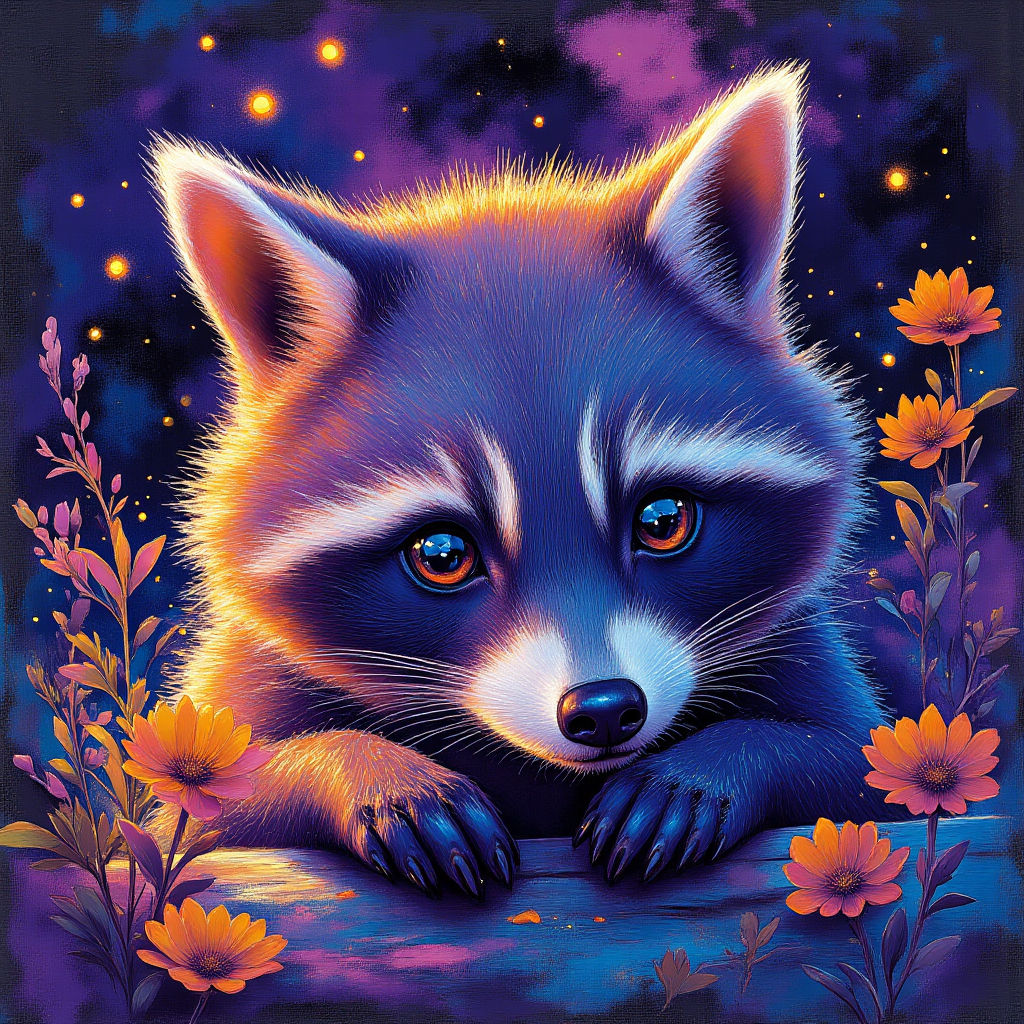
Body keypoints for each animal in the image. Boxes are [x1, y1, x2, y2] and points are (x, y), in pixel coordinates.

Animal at [150, 64, 890, 896]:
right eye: (442, 556)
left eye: (663, 521)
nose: (604, 709)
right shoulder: (248, 678)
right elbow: (202, 812)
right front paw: (366, 770)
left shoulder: (802, 655)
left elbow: (855, 771)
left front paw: (716, 763)